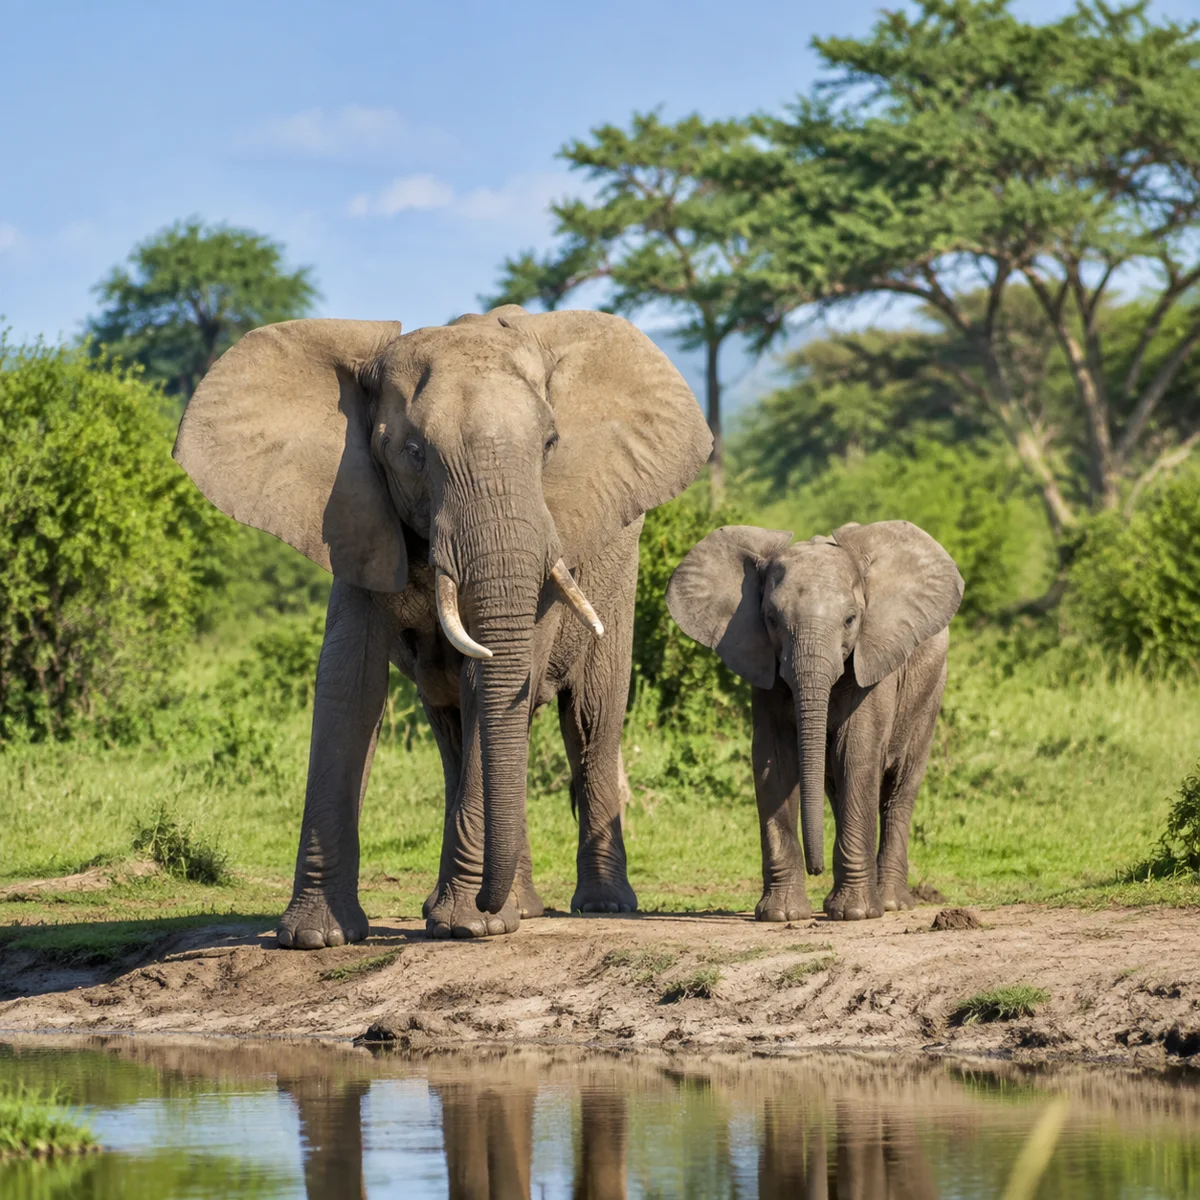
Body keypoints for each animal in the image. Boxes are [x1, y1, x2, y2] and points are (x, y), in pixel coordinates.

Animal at [174, 305, 711, 945]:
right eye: (412, 451)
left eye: (550, 443)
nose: (485, 904)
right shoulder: (354, 513)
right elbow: (349, 686)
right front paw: (316, 937)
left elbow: (494, 682)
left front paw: (470, 927)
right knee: (454, 725)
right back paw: (516, 907)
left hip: (619, 566)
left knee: (590, 716)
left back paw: (595, 905)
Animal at [665, 520, 962, 921]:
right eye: (771, 621)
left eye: (851, 620)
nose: (815, 867)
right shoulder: (764, 667)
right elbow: (773, 761)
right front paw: (782, 915)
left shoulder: (873, 660)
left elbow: (856, 752)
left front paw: (855, 914)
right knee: (836, 784)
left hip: (931, 688)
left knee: (900, 787)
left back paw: (889, 903)